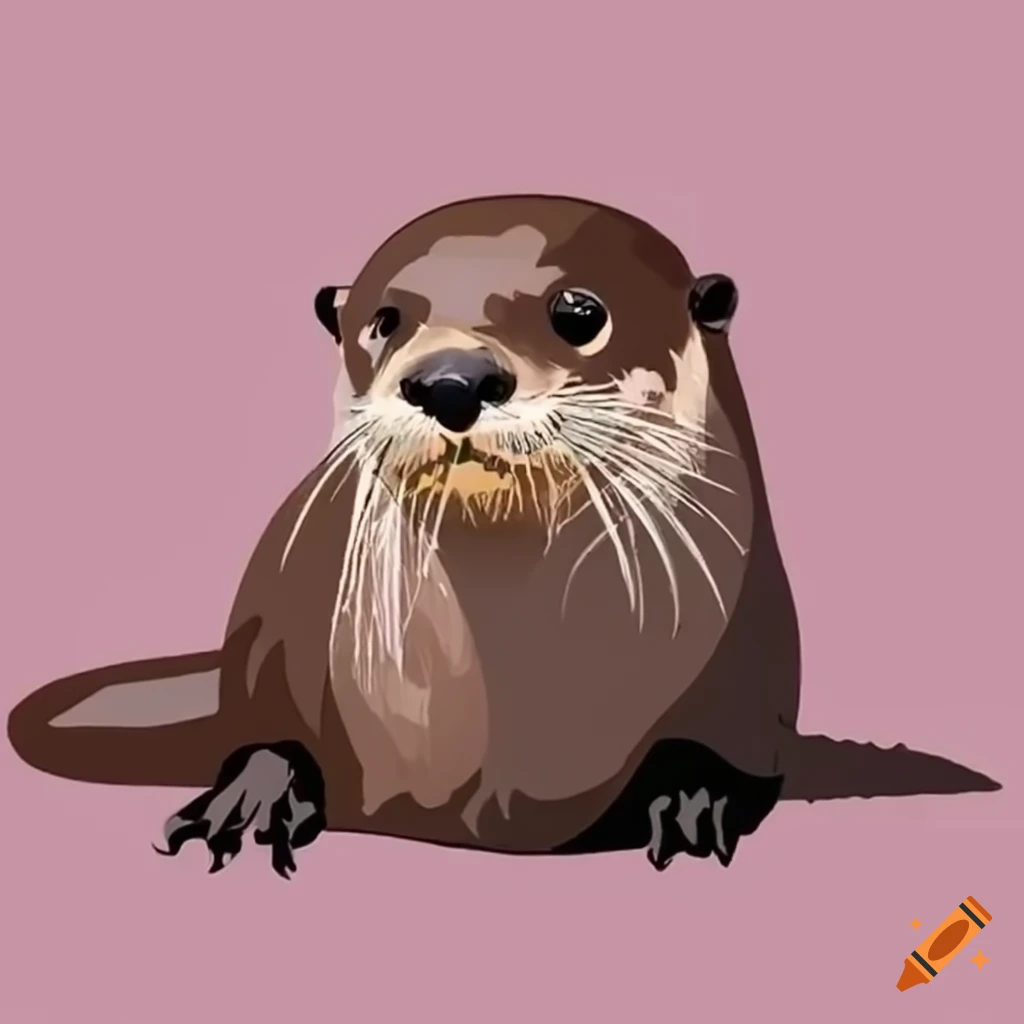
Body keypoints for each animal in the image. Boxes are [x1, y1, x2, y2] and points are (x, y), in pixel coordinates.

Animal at [7, 195, 1000, 877]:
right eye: (383, 320)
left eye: (579, 312)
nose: (450, 378)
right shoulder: (284, 632)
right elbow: (269, 737)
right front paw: (254, 797)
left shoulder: (753, 670)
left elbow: (728, 754)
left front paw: (692, 797)